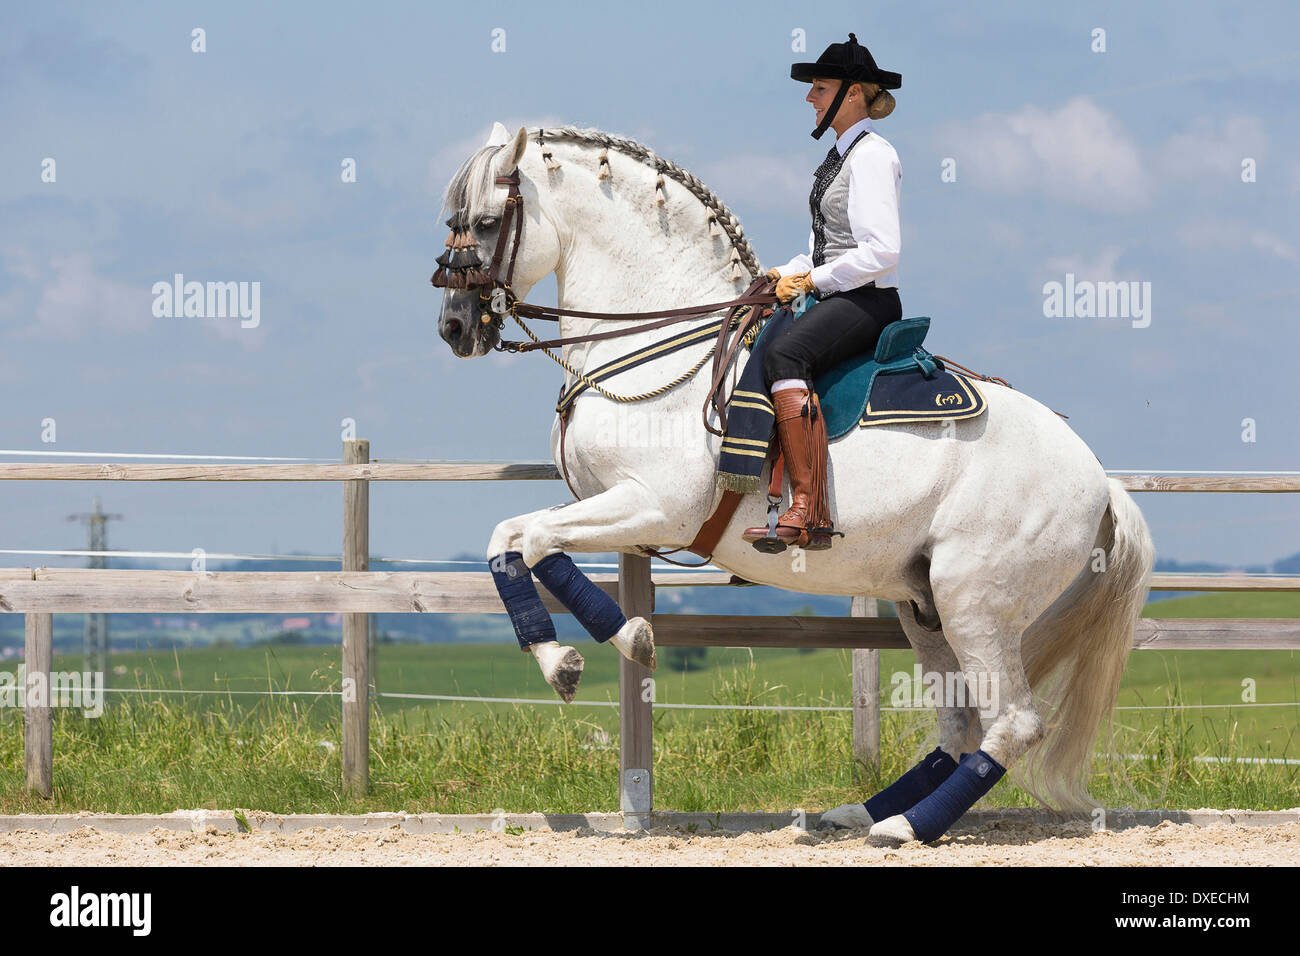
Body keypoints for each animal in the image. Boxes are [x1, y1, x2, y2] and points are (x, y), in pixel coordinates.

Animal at [433, 122, 1154, 846]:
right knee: (959, 724)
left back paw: (907, 824)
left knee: (1012, 722)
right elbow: (515, 539)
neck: (656, 352)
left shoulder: (655, 508)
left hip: (974, 598)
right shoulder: (614, 508)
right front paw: (611, 641)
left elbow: (529, 539)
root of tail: (1100, 480)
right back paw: (867, 813)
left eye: (488, 221)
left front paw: (584, 654)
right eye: (453, 221)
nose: (455, 326)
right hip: (924, 604)